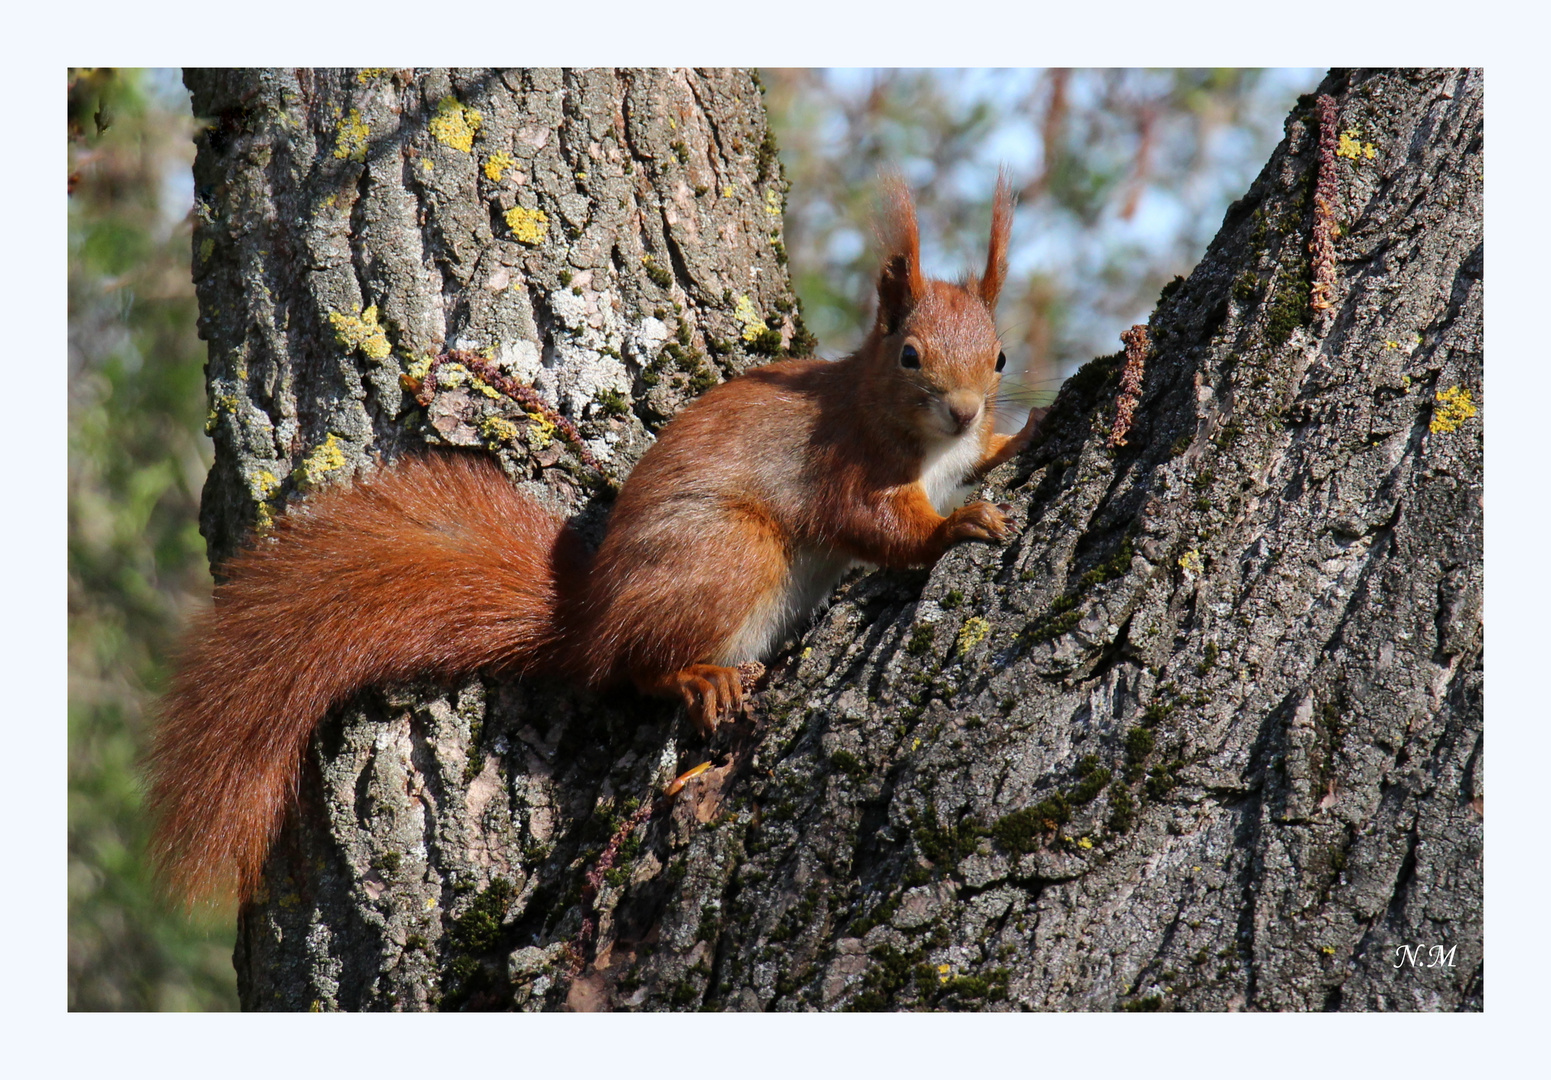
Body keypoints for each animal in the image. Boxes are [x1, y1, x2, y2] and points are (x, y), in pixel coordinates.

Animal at [148, 179, 1042, 900]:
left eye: (1001, 357)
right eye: (909, 355)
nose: (964, 410)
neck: (905, 430)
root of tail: (591, 621)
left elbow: (977, 465)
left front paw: (1017, 439)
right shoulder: (844, 465)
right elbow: (876, 525)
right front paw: (957, 525)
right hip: (730, 555)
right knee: (639, 668)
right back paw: (697, 677)